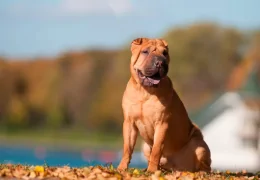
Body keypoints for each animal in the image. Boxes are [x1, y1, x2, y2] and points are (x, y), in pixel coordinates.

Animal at [117, 37, 210, 172]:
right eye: (145, 51)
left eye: (164, 53)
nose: (160, 62)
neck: (145, 91)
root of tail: (177, 167)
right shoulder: (129, 122)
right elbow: (127, 148)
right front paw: (122, 167)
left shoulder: (162, 123)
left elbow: (156, 149)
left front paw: (152, 170)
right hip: (145, 147)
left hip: (200, 146)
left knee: (206, 165)